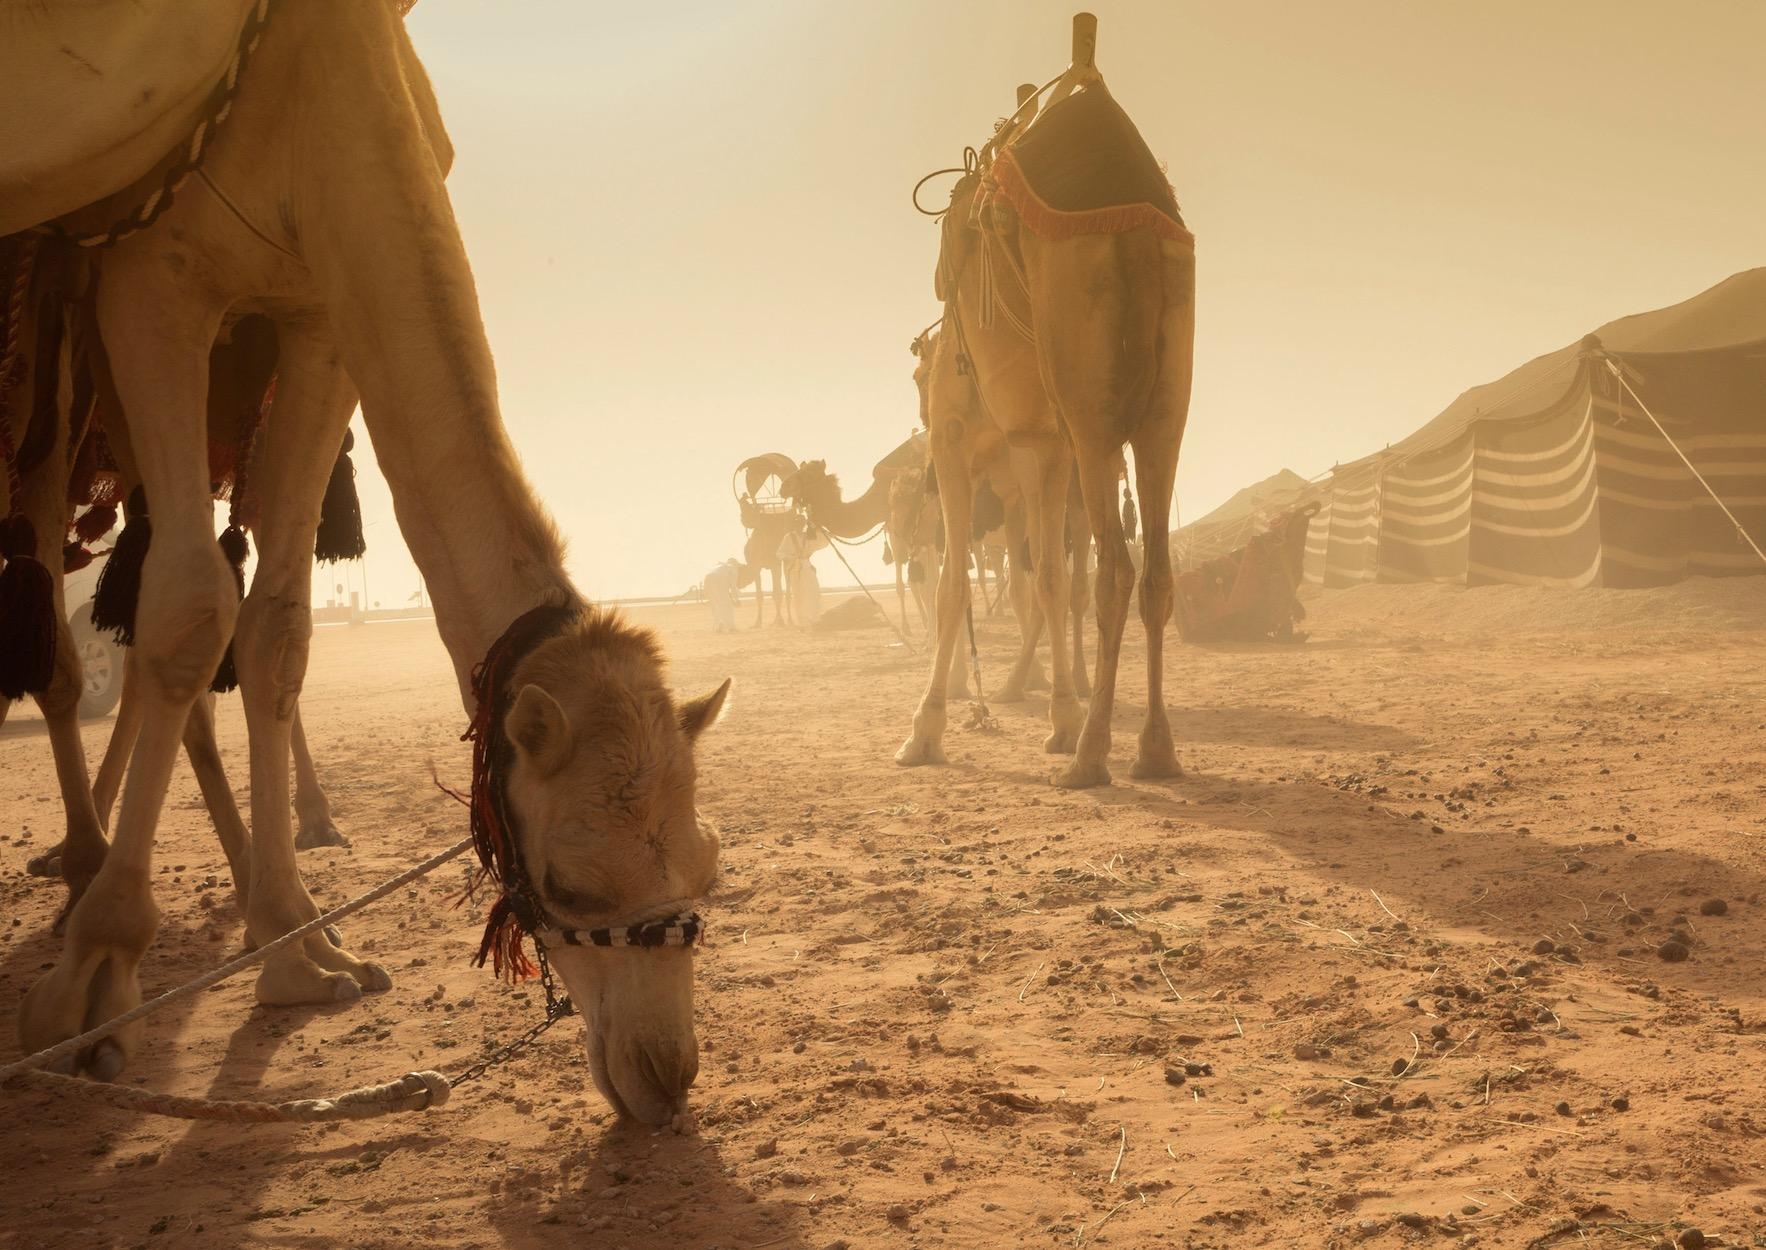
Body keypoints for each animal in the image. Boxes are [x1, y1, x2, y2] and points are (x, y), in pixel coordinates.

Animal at [6, 0, 724, 1129]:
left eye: (708, 865)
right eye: (569, 886)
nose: (666, 1074)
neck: (315, 78)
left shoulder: (315, 313)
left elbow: (277, 628)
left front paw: (301, 950)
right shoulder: (151, 276)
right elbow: (189, 610)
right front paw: (92, 981)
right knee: (63, 617)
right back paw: (83, 869)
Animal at [897, 24, 1200, 787]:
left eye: (919, 383)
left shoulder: (959, 438)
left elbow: (955, 582)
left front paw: (925, 730)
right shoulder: (1039, 445)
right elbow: (1049, 582)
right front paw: (1059, 718)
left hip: (1090, 404)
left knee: (1115, 568)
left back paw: (1093, 756)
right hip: (1164, 406)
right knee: (1154, 567)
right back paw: (1154, 749)